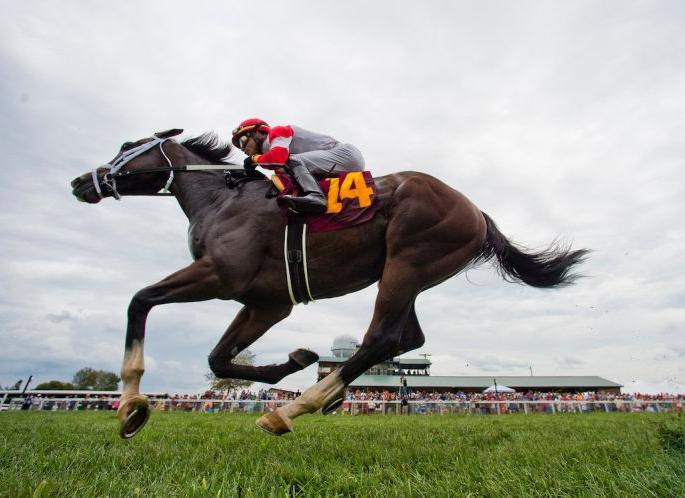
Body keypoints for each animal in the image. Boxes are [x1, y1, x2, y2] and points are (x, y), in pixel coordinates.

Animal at [70, 128, 588, 438]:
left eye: (125, 148)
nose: (80, 182)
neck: (222, 199)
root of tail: (475, 209)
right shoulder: (266, 301)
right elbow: (219, 358)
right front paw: (294, 361)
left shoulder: (219, 275)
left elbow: (139, 301)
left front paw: (131, 406)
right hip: (407, 274)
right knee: (407, 338)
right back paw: (326, 396)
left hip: (407, 263)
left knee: (380, 338)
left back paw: (294, 409)